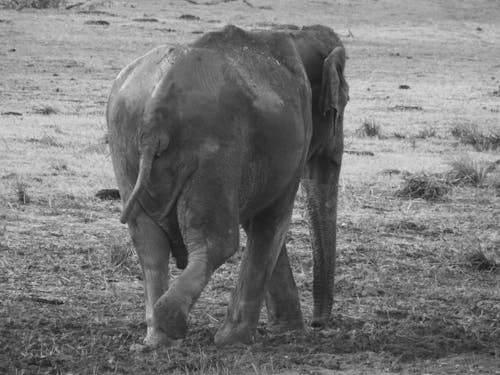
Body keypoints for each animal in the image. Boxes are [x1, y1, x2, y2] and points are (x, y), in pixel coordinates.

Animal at [106, 22, 348, 346]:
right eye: (340, 107)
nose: (318, 323)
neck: (298, 35)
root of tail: (156, 108)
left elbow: (259, 221)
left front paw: (285, 331)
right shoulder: (295, 141)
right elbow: (271, 221)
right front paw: (236, 339)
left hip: (124, 143)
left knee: (147, 239)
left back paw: (157, 336)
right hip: (215, 149)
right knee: (217, 241)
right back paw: (172, 322)